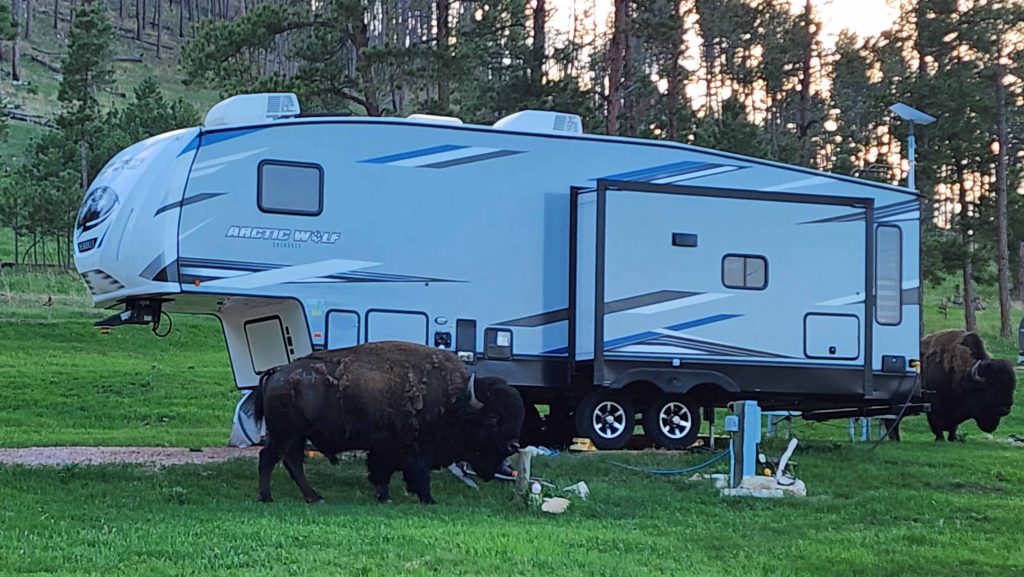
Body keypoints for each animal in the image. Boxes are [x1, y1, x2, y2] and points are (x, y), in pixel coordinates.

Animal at [251, 340, 524, 504]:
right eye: (493, 418)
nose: (513, 446)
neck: (455, 402)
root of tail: (276, 373)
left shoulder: (384, 449)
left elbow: (381, 472)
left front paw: (383, 496)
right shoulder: (415, 450)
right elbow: (418, 475)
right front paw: (428, 500)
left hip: (296, 435)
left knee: (292, 462)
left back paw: (314, 497)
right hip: (284, 434)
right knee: (269, 458)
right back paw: (267, 497)